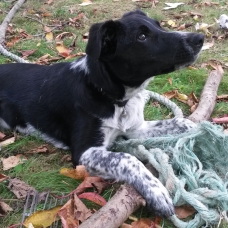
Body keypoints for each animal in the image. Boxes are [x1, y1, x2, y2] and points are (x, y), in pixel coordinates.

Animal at [0, 10, 204, 217]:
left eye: (159, 25)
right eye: (142, 36)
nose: (199, 38)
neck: (111, 96)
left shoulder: (136, 129)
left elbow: (181, 123)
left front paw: (204, 131)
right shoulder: (84, 152)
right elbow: (127, 159)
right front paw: (156, 192)